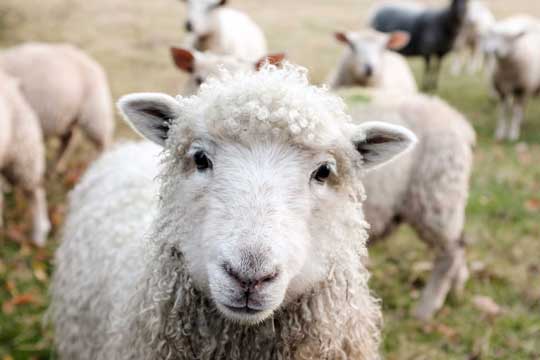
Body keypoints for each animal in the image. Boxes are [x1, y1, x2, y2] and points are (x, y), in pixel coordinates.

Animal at [0, 42, 115, 172]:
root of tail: (90, 60)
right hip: (67, 117)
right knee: (68, 140)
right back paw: (57, 166)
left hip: (95, 112)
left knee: (103, 142)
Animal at [342, 88, 472, 320]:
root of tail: (459, 121)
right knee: (460, 243)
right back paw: (457, 288)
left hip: (436, 196)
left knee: (451, 252)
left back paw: (426, 308)